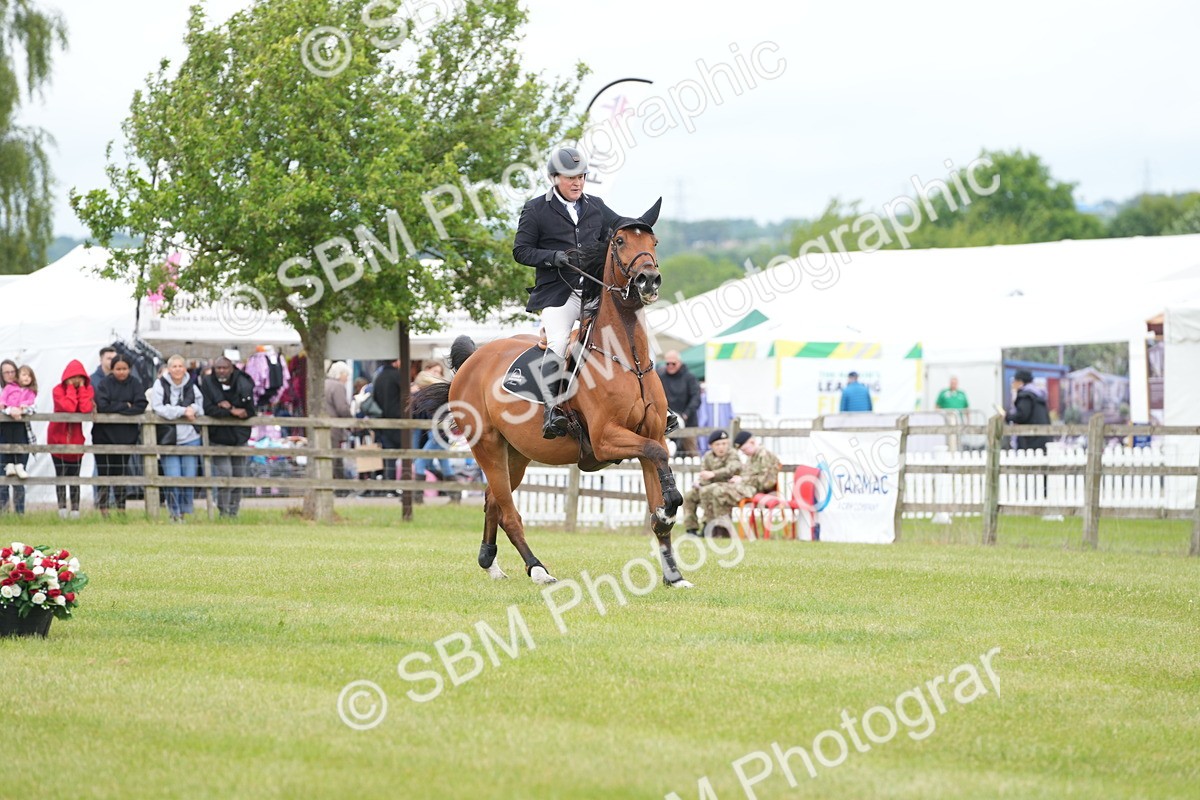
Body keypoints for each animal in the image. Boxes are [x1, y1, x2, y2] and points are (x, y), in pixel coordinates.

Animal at [410, 199, 691, 587]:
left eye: (655, 241)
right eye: (619, 241)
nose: (648, 279)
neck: (627, 361)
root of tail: (472, 362)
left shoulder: (650, 434)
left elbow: (657, 480)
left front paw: (674, 573)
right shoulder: (606, 439)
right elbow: (657, 457)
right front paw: (670, 507)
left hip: (516, 454)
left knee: (493, 500)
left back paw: (490, 562)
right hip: (488, 446)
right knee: (509, 512)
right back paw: (537, 568)